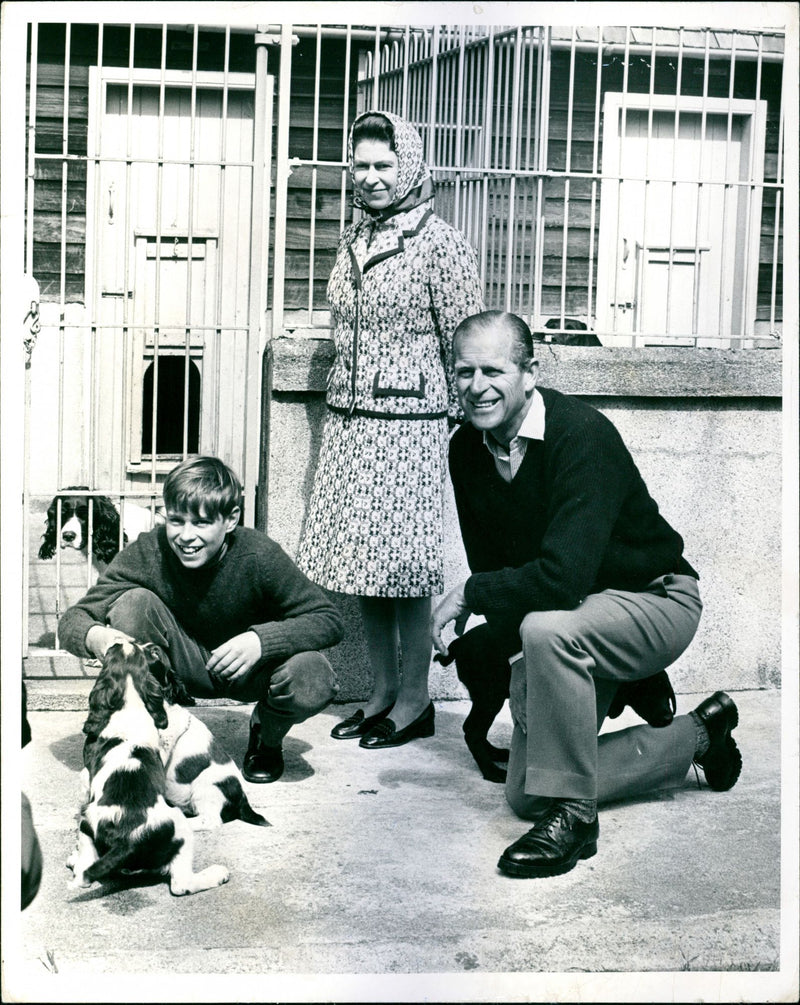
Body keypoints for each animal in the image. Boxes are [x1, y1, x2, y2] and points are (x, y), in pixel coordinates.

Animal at [67, 639, 233, 900]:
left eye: (155, 653)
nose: (124, 640)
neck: (129, 707)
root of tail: (126, 841)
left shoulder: (86, 777)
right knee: (180, 883)